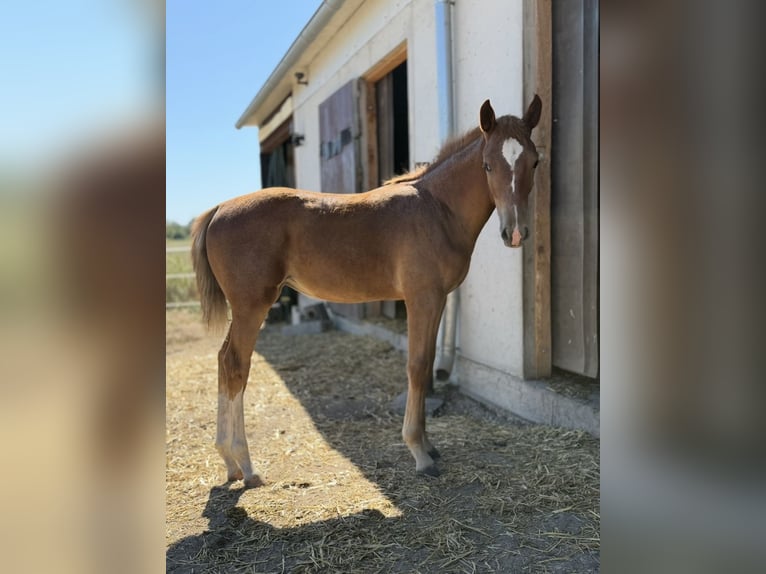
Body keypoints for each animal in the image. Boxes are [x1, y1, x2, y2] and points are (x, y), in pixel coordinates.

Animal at [191, 95, 542, 485]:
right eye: (487, 165)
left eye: (535, 160)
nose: (515, 233)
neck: (437, 209)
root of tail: (219, 208)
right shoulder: (422, 298)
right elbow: (417, 366)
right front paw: (419, 452)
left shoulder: (437, 300)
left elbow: (427, 364)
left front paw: (430, 445)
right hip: (252, 306)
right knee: (237, 364)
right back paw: (247, 465)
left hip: (243, 309)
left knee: (224, 360)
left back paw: (229, 461)